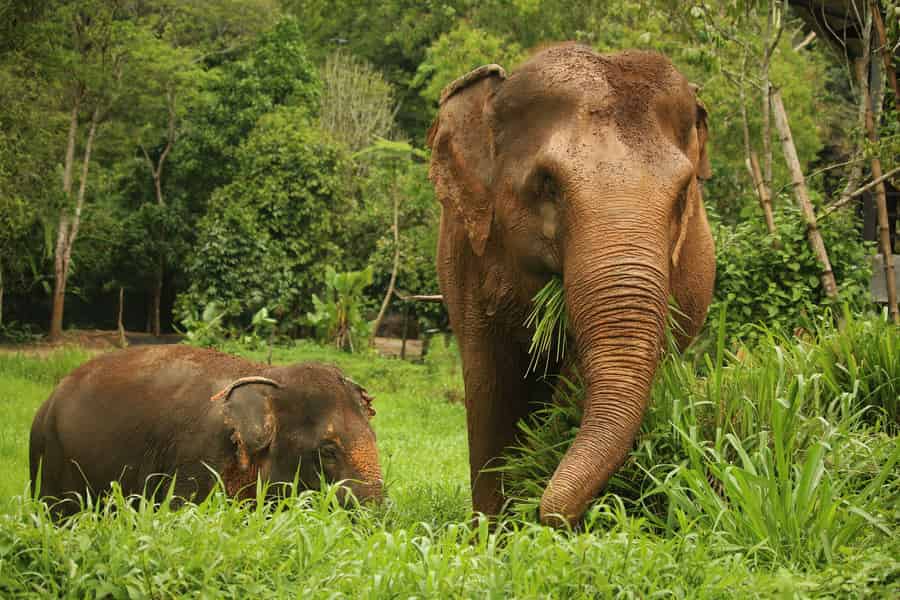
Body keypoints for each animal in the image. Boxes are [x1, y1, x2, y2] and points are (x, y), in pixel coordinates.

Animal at [427, 44, 715, 526]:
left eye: (681, 195)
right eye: (548, 184)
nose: (549, 514)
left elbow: (574, 379)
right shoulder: (469, 254)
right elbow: (489, 383)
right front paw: (492, 531)